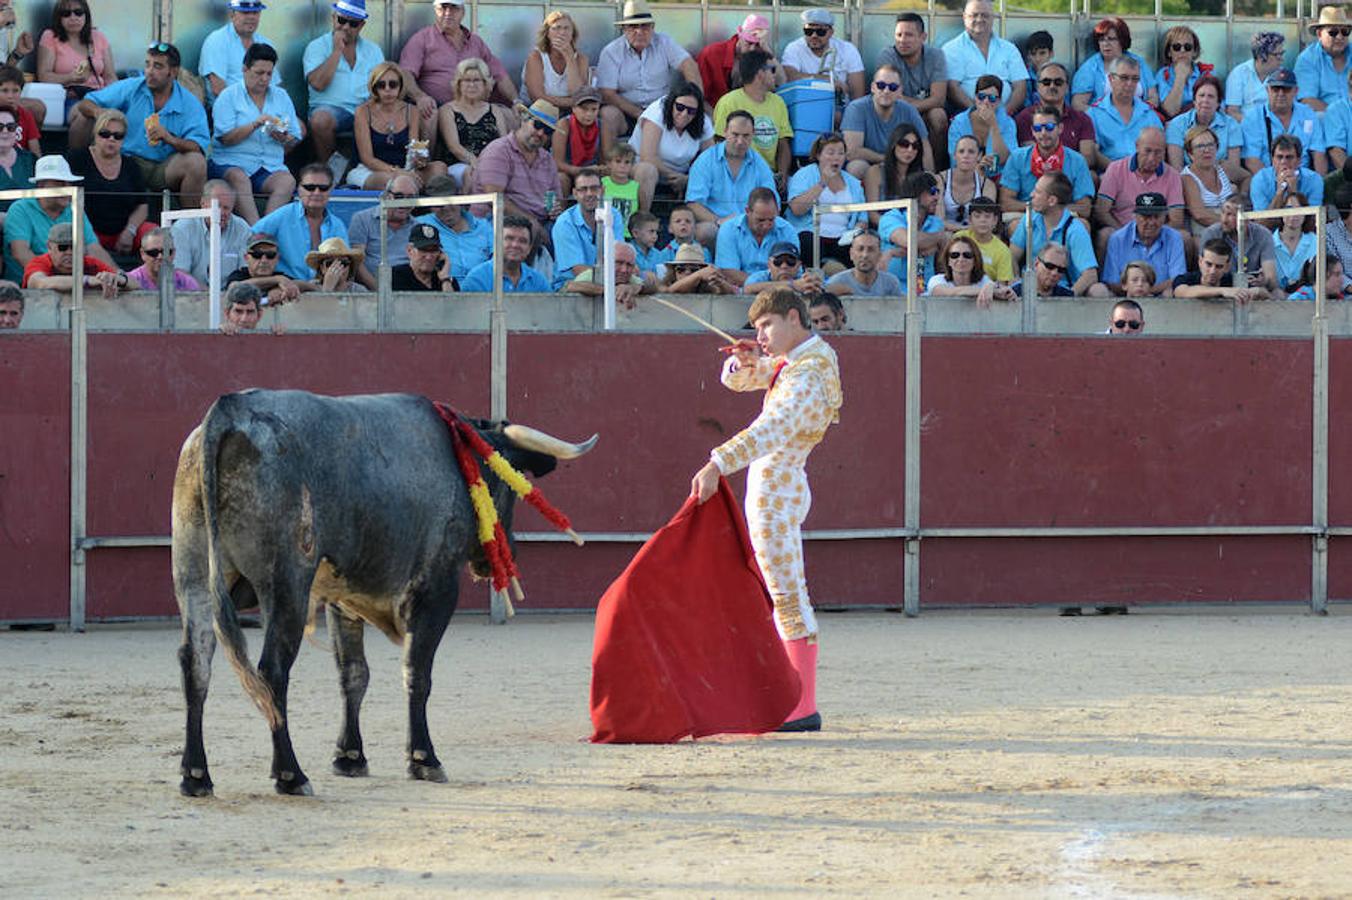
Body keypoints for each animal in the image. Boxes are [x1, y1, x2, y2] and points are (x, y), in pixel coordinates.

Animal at [171, 389, 594, 794]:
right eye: (510, 481)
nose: (508, 553)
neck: (458, 459)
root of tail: (230, 411)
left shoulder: (342, 599)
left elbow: (353, 674)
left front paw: (350, 757)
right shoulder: (436, 589)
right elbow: (417, 672)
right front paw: (424, 759)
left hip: (193, 574)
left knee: (196, 662)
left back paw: (196, 775)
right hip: (286, 586)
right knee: (271, 671)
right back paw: (291, 774)